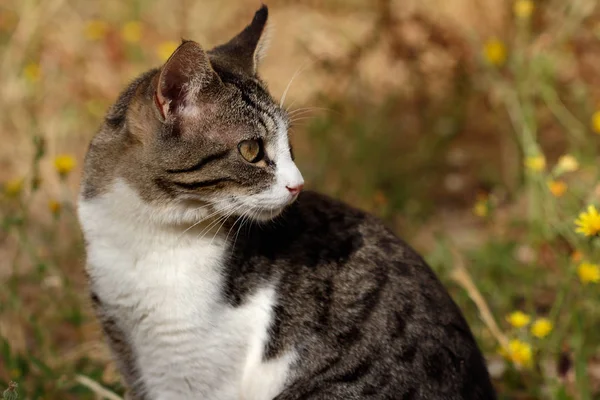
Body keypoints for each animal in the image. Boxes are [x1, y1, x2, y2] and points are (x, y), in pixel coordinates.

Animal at [78, 5, 496, 400]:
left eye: (289, 145)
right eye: (251, 150)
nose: (298, 185)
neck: (145, 237)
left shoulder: (191, 370)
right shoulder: (128, 345)